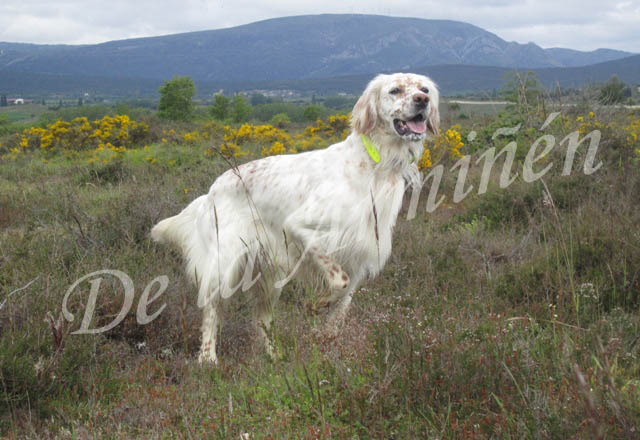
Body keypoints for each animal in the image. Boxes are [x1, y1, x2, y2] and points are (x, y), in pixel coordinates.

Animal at [151, 73, 440, 363]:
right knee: (212, 308)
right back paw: (208, 358)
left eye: (424, 89)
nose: (422, 100)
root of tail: (211, 191)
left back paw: (274, 356)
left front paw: (327, 335)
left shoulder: (362, 252)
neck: (375, 164)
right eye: (395, 90)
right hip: (225, 263)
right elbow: (339, 281)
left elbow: (343, 303)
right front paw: (318, 303)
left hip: (267, 274)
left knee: (262, 317)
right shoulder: (301, 229)